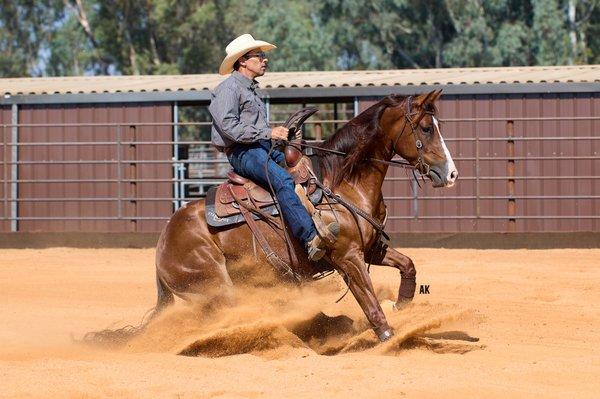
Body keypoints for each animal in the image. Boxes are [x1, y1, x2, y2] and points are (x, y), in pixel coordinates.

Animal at [156, 91, 460, 344]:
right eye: (426, 128)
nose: (451, 174)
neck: (342, 183)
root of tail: (162, 246)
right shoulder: (348, 257)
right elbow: (369, 300)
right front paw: (388, 336)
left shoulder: (371, 249)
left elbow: (408, 265)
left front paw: (400, 303)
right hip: (216, 285)